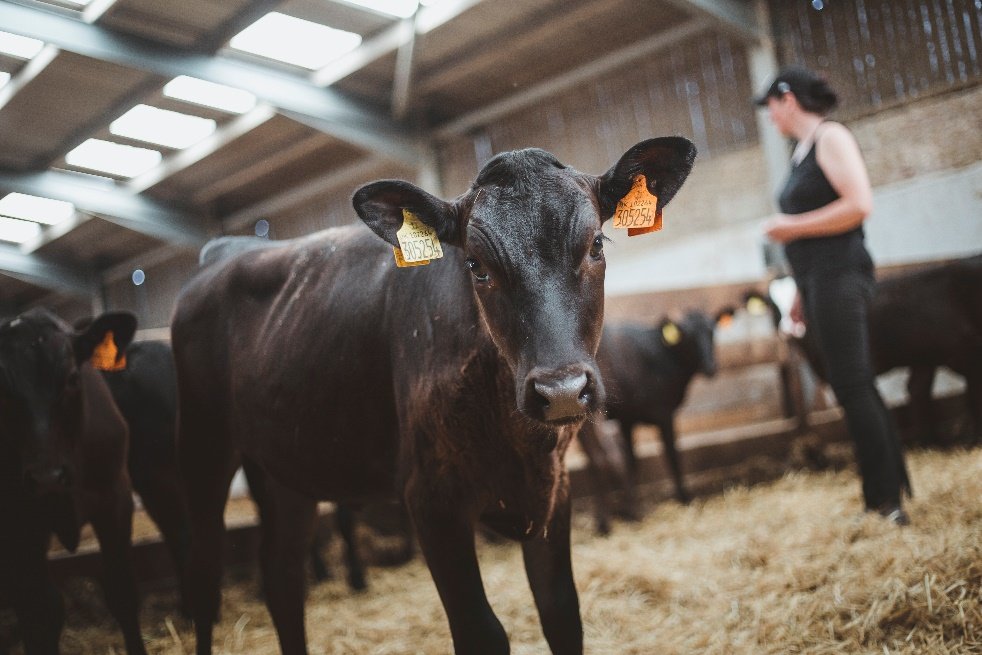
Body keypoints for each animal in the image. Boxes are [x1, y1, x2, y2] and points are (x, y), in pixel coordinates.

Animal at [0, 308, 148, 655]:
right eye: (2, 390)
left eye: (71, 378)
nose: (47, 477)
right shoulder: (19, 525)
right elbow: (40, 615)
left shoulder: (115, 500)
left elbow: (122, 592)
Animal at [173, 136, 696, 652]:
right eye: (475, 265)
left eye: (596, 245)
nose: (561, 391)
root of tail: (223, 249)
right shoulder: (430, 498)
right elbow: (481, 630)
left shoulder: (554, 489)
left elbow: (562, 611)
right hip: (203, 448)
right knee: (203, 577)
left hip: (289, 467)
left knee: (282, 578)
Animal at [580, 308, 736, 532]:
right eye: (688, 336)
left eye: (712, 331)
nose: (710, 367)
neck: (664, 355)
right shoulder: (664, 414)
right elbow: (672, 455)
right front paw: (684, 497)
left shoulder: (628, 418)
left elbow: (633, 460)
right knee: (607, 457)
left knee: (595, 461)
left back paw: (604, 522)